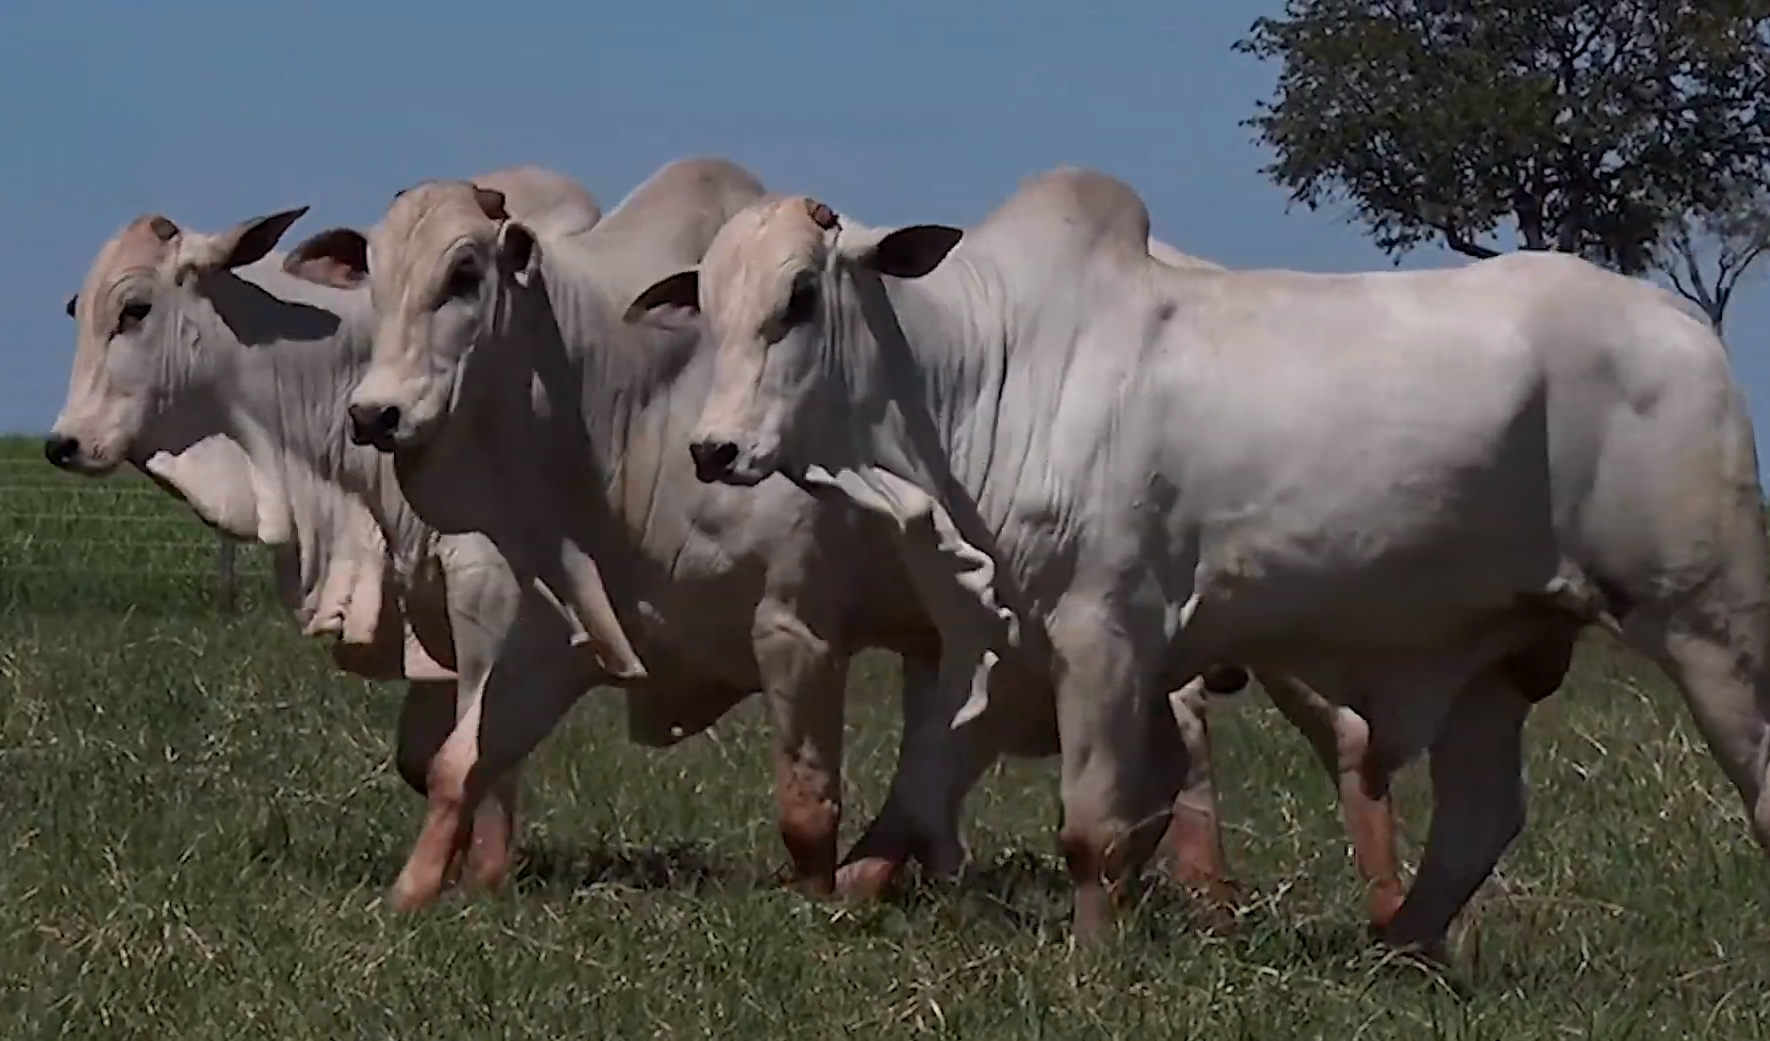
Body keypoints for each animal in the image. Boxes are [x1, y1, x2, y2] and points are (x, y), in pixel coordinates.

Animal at [332, 156, 1408, 927]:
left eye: (464, 272)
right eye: (372, 281)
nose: (374, 415)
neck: (641, 411)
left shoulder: (799, 629)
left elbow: (807, 809)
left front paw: (813, 908)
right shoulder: (576, 632)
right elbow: (460, 762)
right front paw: (412, 895)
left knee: (1341, 742)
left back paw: (1384, 915)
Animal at [626, 166, 1770, 956]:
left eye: (799, 299)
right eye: (710, 309)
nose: (714, 449)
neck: (985, 380)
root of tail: (1684, 323)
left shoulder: (1105, 636)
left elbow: (1094, 825)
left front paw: (1092, 958)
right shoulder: (995, 645)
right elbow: (913, 800)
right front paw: (838, 907)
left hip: (1710, 622)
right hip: (1492, 652)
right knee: (1479, 817)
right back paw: (1397, 950)